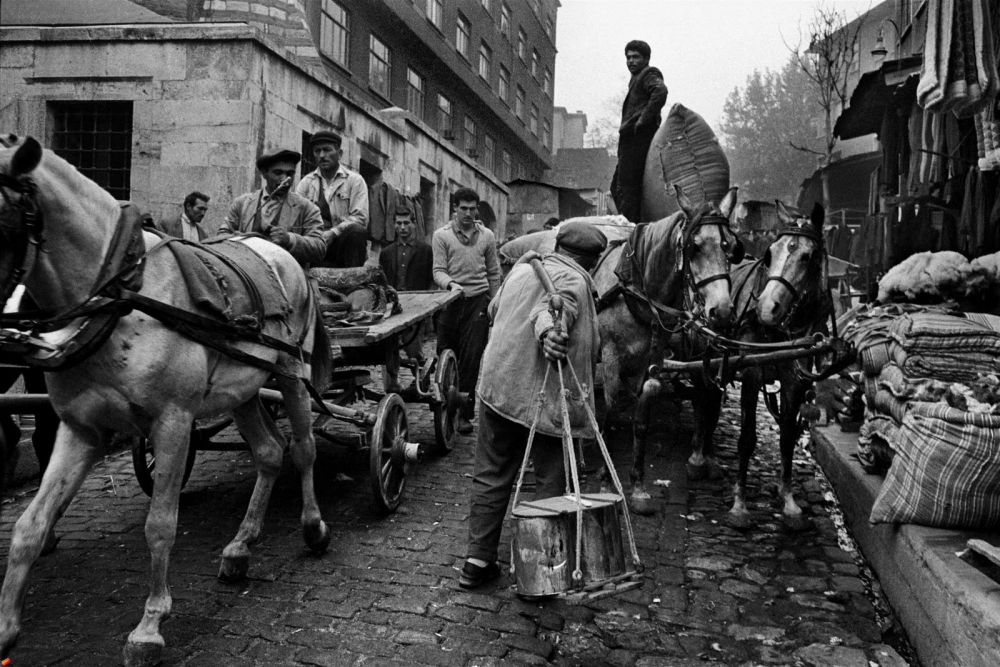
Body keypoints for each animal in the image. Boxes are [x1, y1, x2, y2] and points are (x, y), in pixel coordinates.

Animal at [0, 137, 336, 667]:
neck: (121, 296)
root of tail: (277, 248)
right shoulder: (82, 430)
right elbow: (29, 525)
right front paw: (7, 627)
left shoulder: (173, 421)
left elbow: (160, 523)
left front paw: (149, 626)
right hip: (243, 386)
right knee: (268, 452)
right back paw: (240, 547)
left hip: (290, 373)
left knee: (303, 449)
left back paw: (314, 527)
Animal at [720, 201, 828, 528]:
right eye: (769, 254)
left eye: (808, 256)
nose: (766, 308)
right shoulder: (752, 372)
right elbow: (747, 438)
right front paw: (739, 505)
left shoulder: (795, 379)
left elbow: (788, 438)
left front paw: (789, 500)